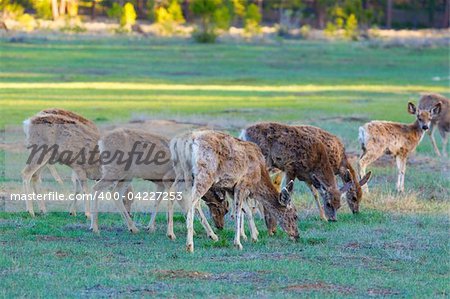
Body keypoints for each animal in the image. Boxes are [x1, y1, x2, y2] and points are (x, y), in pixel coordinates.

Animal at [171, 131, 300, 253]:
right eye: (295, 216)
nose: (297, 235)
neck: (258, 178)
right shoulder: (241, 184)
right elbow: (238, 212)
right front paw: (238, 243)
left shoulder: (230, 189)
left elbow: (248, 211)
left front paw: (254, 237)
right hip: (204, 173)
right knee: (192, 202)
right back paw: (190, 245)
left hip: (183, 173)